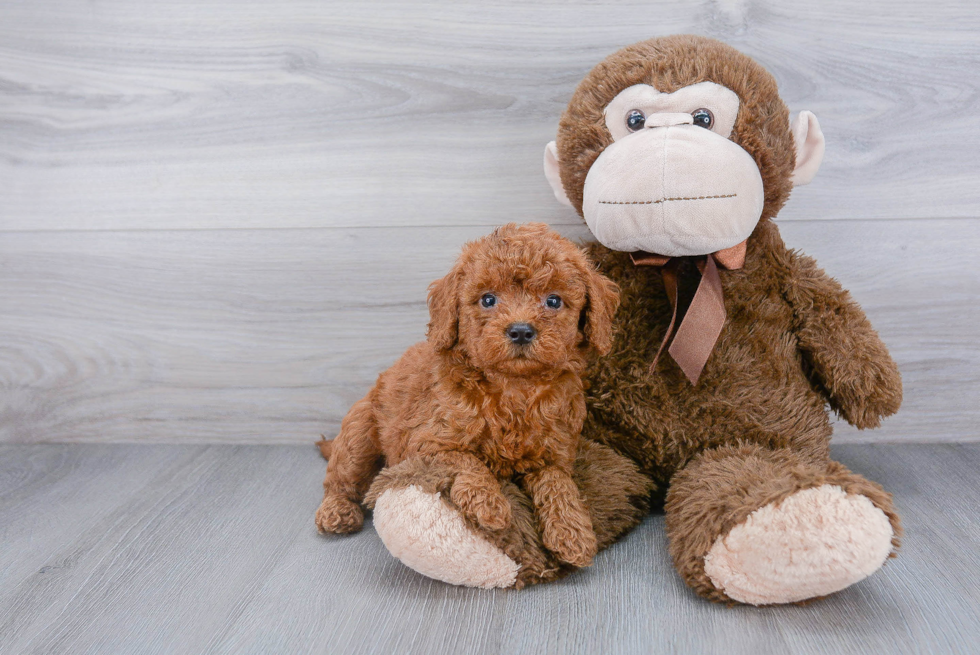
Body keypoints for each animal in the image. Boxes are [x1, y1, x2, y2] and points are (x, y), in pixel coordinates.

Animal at [314, 222, 620, 568]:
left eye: (553, 301)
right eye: (488, 300)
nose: (521, 330)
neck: (514, 387)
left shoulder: (554, 453)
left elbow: (558, 482)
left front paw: (573, 532)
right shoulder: (424, 443)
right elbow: (466, 460)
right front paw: (488, 503)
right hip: (360, 433)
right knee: (341, 478)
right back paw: (336, 511)